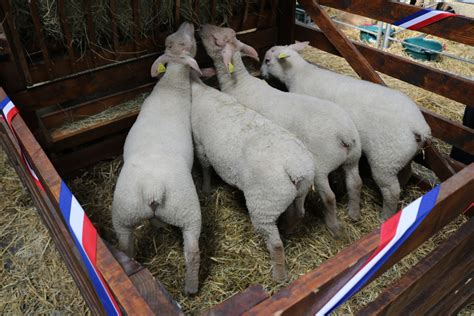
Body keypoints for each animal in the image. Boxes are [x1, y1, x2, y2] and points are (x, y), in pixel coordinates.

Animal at [112, 22, 203, 296]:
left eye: (170, 41)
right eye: (188, 41)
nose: (188, 23)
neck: (171, 84)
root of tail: (153, 188)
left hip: (123, 214)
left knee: (126, 246)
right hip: (188, 211)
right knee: (192, 252)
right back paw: (191, 287)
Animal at [189, 74, 314, 282]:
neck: (199, 89)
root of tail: (295, 169)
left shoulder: (200, 145)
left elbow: (206, 169)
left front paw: (205, 189)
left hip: (263, 204)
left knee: (275, 243)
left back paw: (279, 275)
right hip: (298, 193)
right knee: (299, 213)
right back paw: (288, 229)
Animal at [199, 25, 362, 237]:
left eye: (215, 39)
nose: (201, 27)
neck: (239, 82)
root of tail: (345, 134)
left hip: (321, 165)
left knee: (329, 197)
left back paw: (334, 227)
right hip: (353, 157)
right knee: (355, 183)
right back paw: (354, 214)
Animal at [262, 42, 432, 218]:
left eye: (267, 60)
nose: (262, 74)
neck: (300, 73)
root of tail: (420, 127)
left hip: (386, 160)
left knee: (391, 191)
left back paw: (385, 216)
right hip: (402, 156)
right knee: (405, 174)